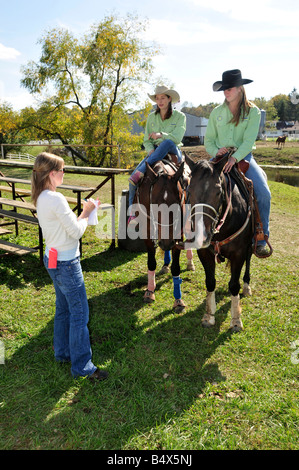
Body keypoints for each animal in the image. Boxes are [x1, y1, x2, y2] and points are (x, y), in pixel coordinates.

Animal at [131, 158, 192, 312]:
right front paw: (149, 291)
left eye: (177, 203)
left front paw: (178, 299)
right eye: (154, 204)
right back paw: (165, 265)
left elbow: (176, 267)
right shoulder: (147, 231)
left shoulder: (177, 234)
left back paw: (190, 263)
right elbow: (151, 262)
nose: (166, 242)